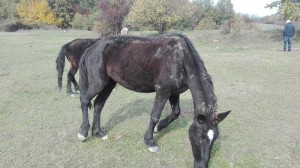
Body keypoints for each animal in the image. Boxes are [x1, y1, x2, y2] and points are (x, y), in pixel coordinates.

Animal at [78, 34, 231, 167]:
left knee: (99, 104)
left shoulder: (174, 92)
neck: (181, 58)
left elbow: (176, 112)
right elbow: (154, 116)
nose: (201, 165)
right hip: (99, 83)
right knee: (85, 100)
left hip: (109, 83)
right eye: (200, 137)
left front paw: (159, 127)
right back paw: (83, 133)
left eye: (214, 138)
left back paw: (98, 133)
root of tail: (91, 49)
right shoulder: (163, 91)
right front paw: (150, 141)